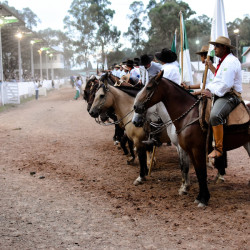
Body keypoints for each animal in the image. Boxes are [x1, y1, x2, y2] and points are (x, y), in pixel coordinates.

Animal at [134, 71, 249, 207]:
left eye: (149, 87)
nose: (136, 108)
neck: (187, 116)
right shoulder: (188, 149)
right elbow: (192, 170)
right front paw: (195, 194)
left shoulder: (195, 150)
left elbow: (199, 171)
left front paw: (202, 198)